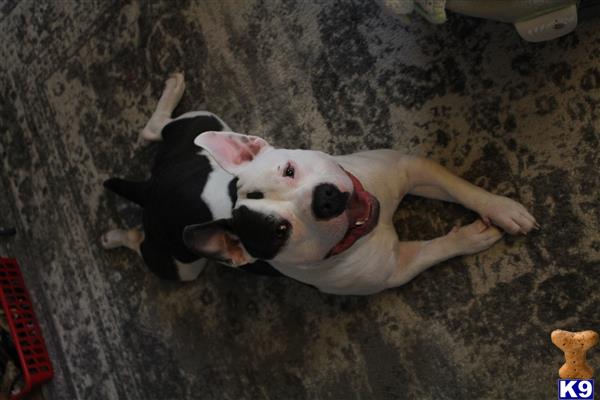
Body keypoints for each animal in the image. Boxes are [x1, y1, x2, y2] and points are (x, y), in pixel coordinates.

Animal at [103, 74, 540, 294]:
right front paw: (473, 237)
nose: (325, 199)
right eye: (280, 230)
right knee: (144, 243)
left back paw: (171, 92)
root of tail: (150, 189)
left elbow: (463, 188)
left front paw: (503, 209)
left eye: (289, 170)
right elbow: (436, 249)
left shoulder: (412, 167)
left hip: (204, 123)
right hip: (180, 266)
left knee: (154, 130)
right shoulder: (398, 269)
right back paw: (114, 236)